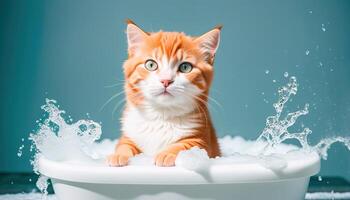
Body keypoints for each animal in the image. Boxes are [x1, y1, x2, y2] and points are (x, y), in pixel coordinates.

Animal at [107, 19, 221, 167]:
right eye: (151, 65)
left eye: (185, 67)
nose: (166, 81)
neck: (161, 115)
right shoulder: (129, 134)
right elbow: (124, 145)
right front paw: (119, 155)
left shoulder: (202, 140)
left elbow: (185, 146)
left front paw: (167, 154)